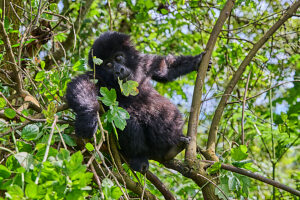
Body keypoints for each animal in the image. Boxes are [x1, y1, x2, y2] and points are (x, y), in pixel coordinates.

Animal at [66, 31, 207, 173]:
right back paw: (140, 158)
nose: (118, 70)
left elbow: (164, 68)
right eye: (108, 65)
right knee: (128, 120)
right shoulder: (99, 78)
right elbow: (83, 83)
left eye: (118, 58)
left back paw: (172, 148)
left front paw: (196, 61)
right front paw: (88, 118)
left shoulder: (143, 63)